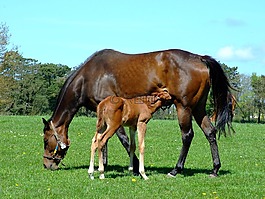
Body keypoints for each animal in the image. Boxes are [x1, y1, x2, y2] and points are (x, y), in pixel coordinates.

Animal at [41, 48, 231, 177]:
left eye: (46, 140)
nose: (46, 165)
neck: (89, 77)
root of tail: (200, 58)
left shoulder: (116, 118)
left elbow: (123, 140)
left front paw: (136, 167)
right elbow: (104, 141)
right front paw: (104, 165)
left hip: (183, 107)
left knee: (187, 135)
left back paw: (176, 169)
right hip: (198, 108)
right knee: (210, 132)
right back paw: (215, 168)